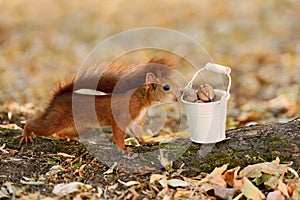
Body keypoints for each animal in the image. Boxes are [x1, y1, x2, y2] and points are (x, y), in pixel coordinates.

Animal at [14, 55, 178, 151]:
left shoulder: (137, 121)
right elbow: (119, 134)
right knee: (38, 124)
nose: (177, 98)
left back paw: (69, 138)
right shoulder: (121, 116)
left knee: (60, 132)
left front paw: (147, 142)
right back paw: (26, 133)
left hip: (80, 127)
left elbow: (138, 133)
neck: (143, 102)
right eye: (166, 87)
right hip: (56, 119)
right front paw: (124, 149)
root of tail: (59, 97)